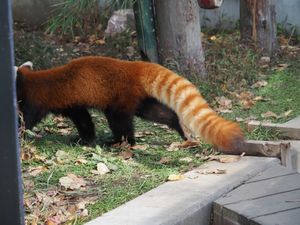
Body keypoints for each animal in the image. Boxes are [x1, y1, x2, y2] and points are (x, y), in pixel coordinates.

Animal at [16, 56, 245, 154]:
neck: (29, 79)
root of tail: (134, 66)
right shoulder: (72, 104)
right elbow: (84, 120)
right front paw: (85, 138)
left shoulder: (36, 99)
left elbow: (27, 118)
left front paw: (19, 134)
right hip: (139, 98)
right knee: (156, 113)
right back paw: (179, 128)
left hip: (119, 98)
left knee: (120, 122)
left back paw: (120, 142)